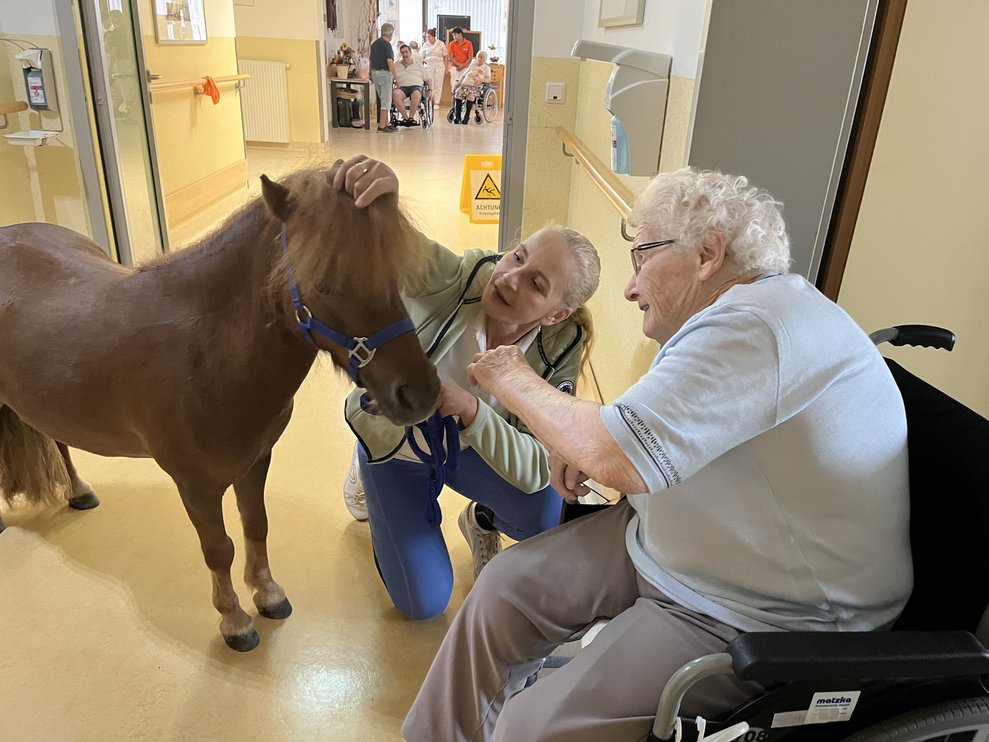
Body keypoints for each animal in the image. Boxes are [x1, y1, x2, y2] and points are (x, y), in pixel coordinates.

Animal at [0, 162, 441, 651]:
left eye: (391, 272)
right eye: (324, 283)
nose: (420, 393)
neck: (206, 356)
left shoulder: (255, 461)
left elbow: (255, 524)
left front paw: (267, 593)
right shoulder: (195, 484)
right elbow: (219, 549)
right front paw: (234, 620)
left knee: (56, 438)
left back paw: (78, 490)